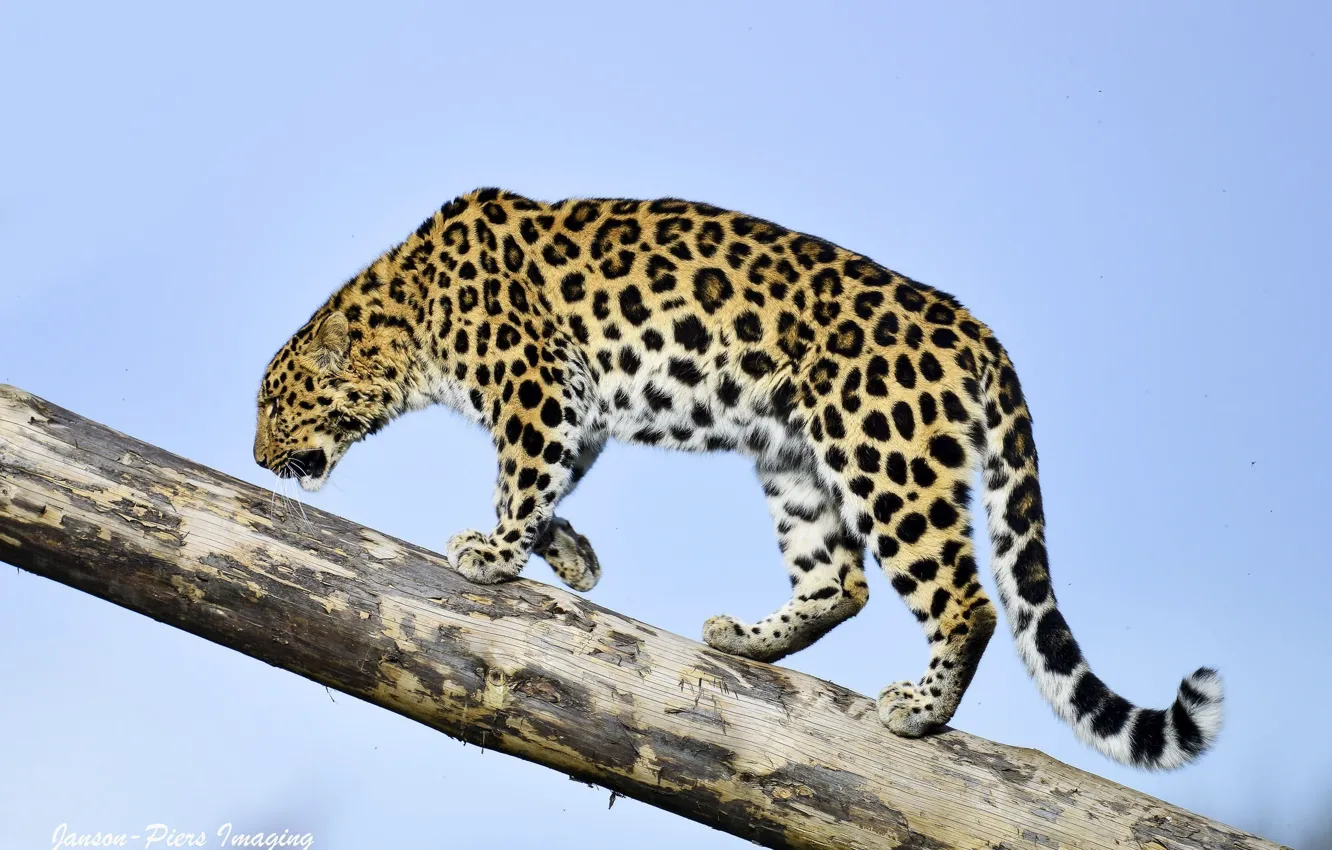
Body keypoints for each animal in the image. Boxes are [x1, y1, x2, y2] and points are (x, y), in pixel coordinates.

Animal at [253, 188, 1223, 769]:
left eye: (275, 404)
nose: (258, 458)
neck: (408, 319)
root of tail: (975, 329)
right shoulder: (578, 404)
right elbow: (553, 482)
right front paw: (570, 558)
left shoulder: (537, 384)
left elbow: (523, 477)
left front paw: (491, 555)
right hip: (796, 458)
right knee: (839, 584)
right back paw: (744, 641)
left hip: (885, 456)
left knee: (965, 599)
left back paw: (919, 708)